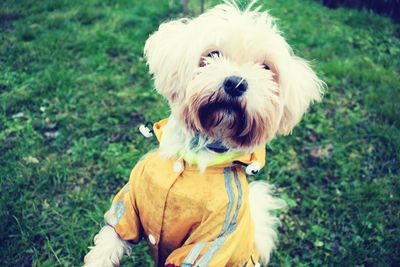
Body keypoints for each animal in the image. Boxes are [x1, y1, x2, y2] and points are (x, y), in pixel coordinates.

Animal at [83, 1, 324, 266]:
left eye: (265, 68)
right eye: (212, 55)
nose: (236, 83)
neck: (195, 155)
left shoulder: (210, 240)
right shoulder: (128, 205)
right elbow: (110, 240)